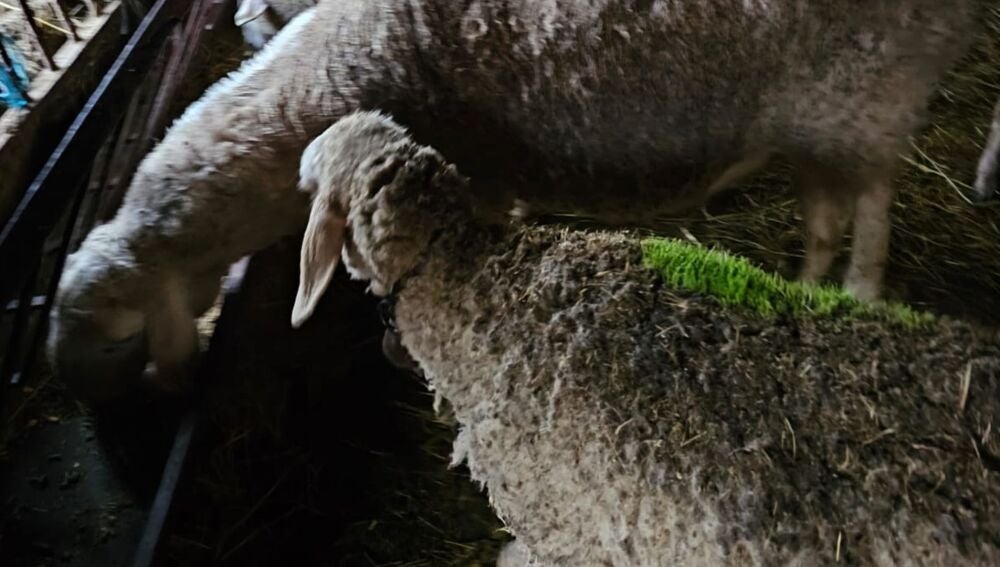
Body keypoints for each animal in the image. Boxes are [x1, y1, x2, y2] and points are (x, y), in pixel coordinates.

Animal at [51, 0, 988, 400]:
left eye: (115, 331)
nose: (86, 397)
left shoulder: (474, 174)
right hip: (815, 115)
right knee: (829, 210)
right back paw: (810, 285)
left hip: (869, 88)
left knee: (873, 205)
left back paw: (861, 292)